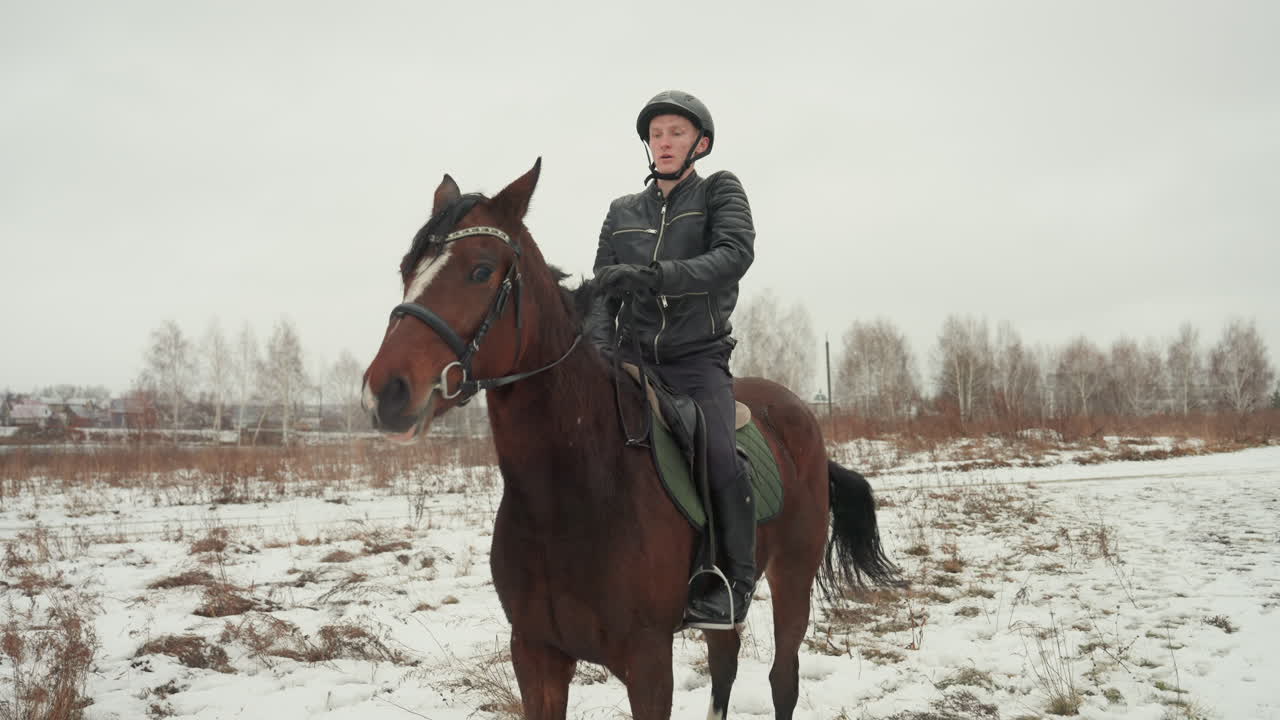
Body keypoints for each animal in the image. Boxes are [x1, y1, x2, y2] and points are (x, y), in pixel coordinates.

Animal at [362, 159, 899, 720]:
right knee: (724, 666)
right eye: (407, 269)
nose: (386, 391)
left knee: (782, 679)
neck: (569, 493)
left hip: (792, 576)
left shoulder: (647, 663)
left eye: (481, 270)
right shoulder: (535, 654)